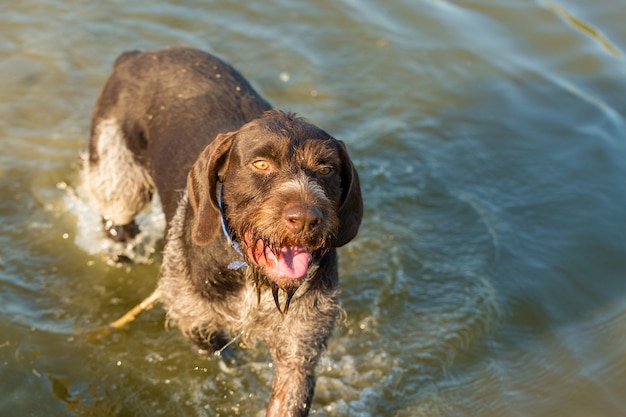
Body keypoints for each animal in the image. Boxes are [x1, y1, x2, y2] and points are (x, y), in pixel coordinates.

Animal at [84, 47, 366, 414]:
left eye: (327, 169)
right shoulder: (192, 314)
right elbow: (216, 345)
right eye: (261, 164)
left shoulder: (301, 345)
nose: (306, 218)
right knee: (118, 217)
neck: (251, 276)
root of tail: (140, 54)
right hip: (120, 174)